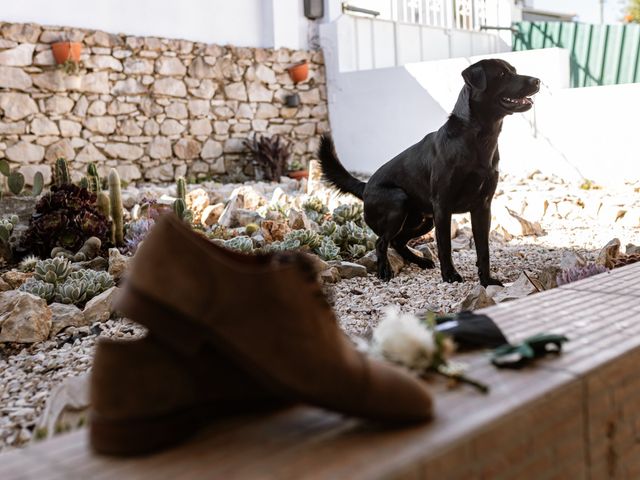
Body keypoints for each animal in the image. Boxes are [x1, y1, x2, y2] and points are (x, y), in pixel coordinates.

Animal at [320, 59, 540, 284]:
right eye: (502, 74)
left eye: (514, 71)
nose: (537, 80)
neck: (477, 138)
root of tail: (365, 187)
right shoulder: (443, 206)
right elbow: (445, 247)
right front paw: (450, 275)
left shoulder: (482, 207)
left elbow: (483, 249)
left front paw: (487, 281)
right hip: (399, 203)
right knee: (381, 242)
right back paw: (385, 271)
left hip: (423, 220)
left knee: (397, 241)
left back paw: (420, 262)